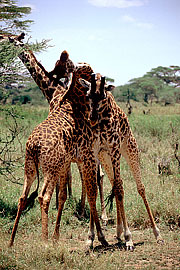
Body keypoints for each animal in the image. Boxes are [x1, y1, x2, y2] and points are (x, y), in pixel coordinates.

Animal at [79, 73, 164, 249]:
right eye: (88, 95)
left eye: (103, 96)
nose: (92, 117)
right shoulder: (94, 153)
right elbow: (93, 190)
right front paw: (90, 238)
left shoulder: (115, 149)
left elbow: (118, 190)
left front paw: (128, 237)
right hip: (105, 158)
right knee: (117, 184)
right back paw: (118, 232)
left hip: (130, 149)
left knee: (139, 187)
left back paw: (157, 234)